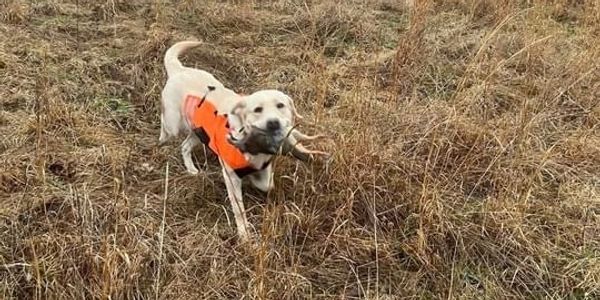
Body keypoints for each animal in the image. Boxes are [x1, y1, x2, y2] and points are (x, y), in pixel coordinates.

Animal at [157, 40, 326, 241]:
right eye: (258, 109)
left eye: (280, 105)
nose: (273, 123)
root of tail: (179, 70)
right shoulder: (231, 177)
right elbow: (239, 209)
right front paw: (244, 234)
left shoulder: (264, 168)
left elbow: (266, 184)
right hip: (174, 124)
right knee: (165, 124)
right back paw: (162, 138)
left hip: (199, 133)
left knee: (184, 146)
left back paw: (191, 168)